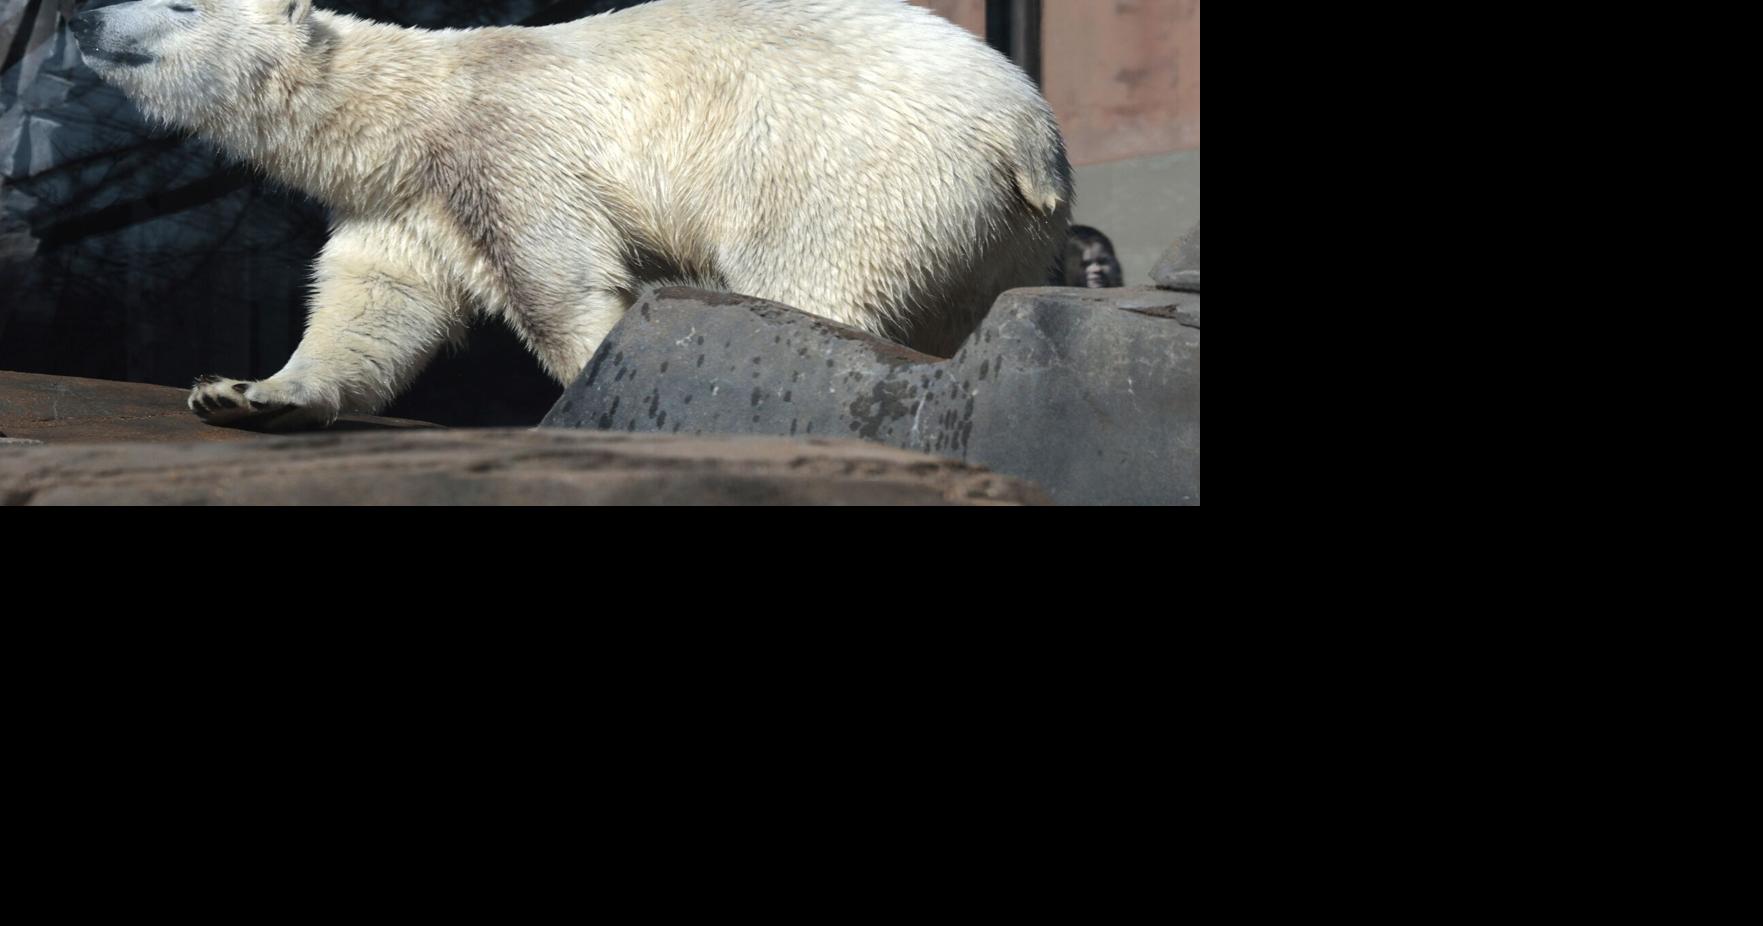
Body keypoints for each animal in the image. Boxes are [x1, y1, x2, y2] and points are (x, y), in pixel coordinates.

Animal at [68, 0, 1072, 429]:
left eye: (182, 1)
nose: (79, 16)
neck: (405, 110)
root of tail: (1028, 132)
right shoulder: (403, 203)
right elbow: (372, 310)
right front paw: (247, 393)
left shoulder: (505, 152)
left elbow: (558, 285)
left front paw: (599, 383)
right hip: (992, 231)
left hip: (845, 169)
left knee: (813, 288)